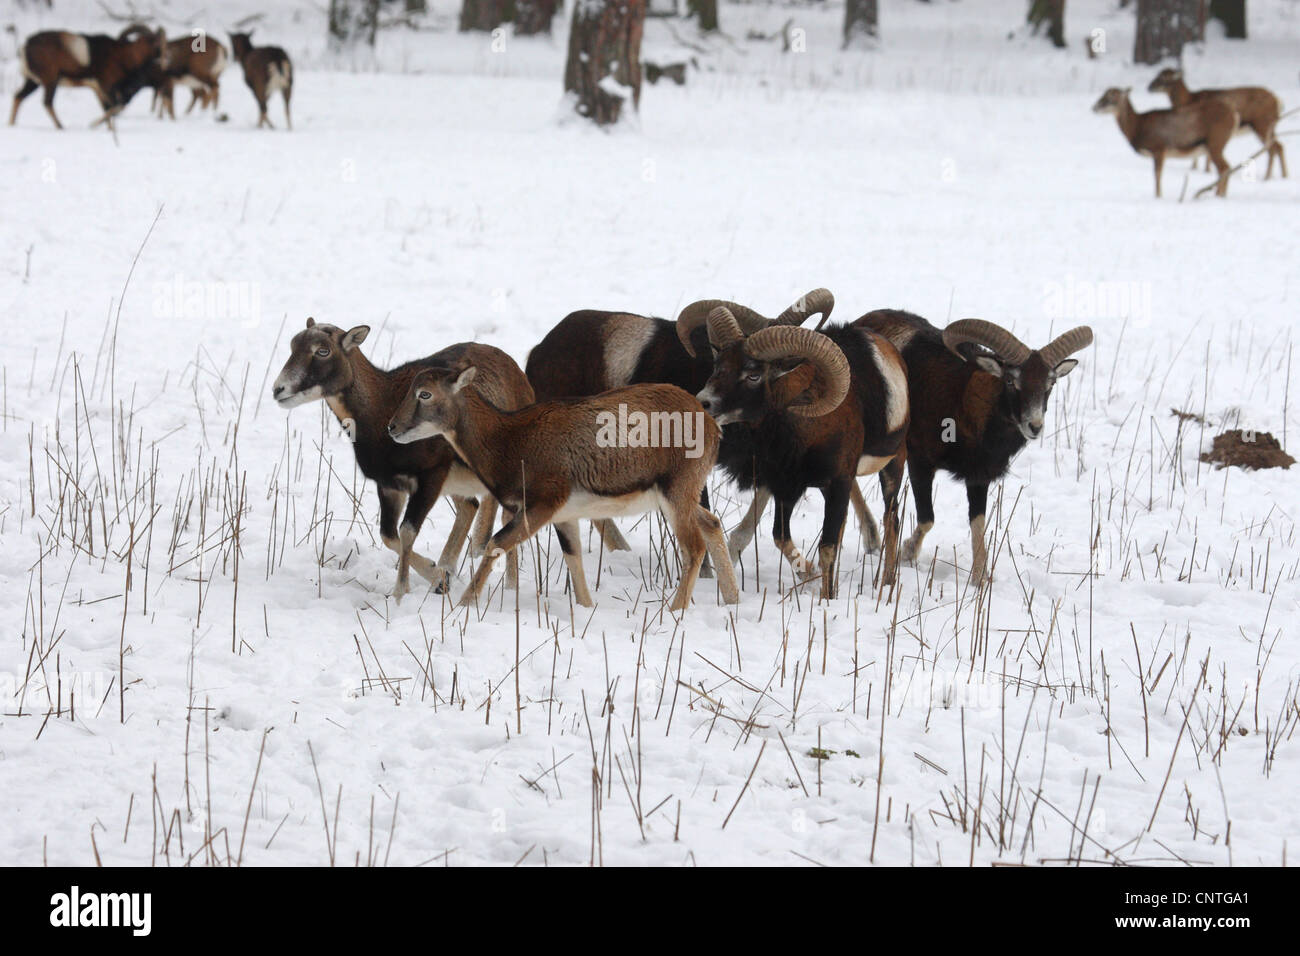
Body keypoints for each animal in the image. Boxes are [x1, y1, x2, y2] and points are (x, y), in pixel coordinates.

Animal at [1086, 87, 1237, 199]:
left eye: (1112, 97)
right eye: (1103, 94)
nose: (1094, 107)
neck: (1138, 126)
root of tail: (1233, 115)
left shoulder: (1159, 148)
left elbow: (1157, 174)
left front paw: (1158, 196)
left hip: (1215, 142)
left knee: (1225, 167)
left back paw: (1219, 196)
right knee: (1225, 168)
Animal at [1149, 68, 1289, 180]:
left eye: (1164, 78)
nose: (1149, 87)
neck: (1188, 100)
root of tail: (1278, 101)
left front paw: (1204, 170)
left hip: (1262, 124)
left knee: (1273, 148)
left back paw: (1268, 177)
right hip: (1268, 126)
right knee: (1279, 146)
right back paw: (1283, 175)